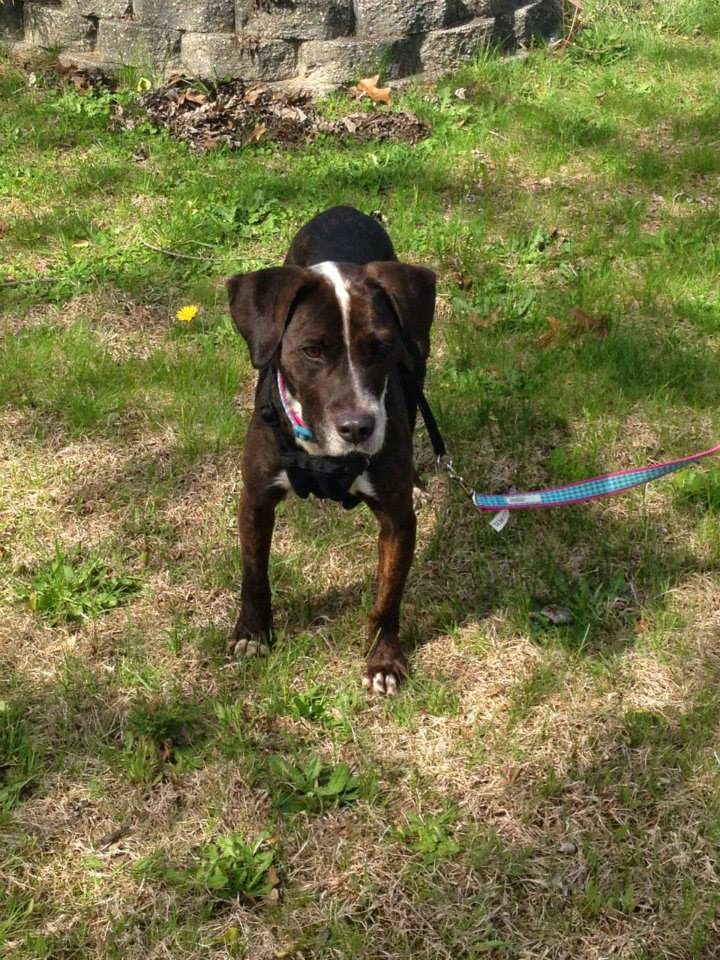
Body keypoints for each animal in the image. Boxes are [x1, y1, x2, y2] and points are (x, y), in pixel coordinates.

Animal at [226, 206, 436, 695]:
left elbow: (387, 597)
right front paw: (252, 633)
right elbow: (254, 573)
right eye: (312, 351)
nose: (358, 427)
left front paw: (383, 660)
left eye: (381, 346)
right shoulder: (255, 498)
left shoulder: (397, 521)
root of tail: (346, 209)